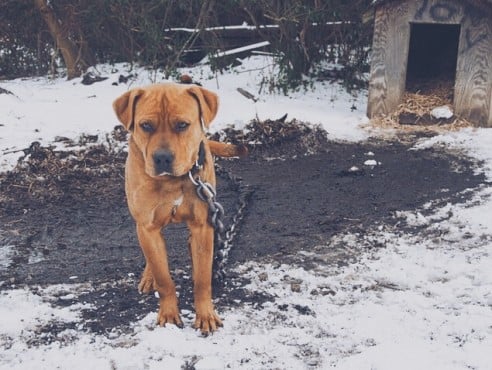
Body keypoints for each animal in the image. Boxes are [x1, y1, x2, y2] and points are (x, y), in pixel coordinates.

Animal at [113, 82, 248, 334]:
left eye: (183, 125)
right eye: (146, 126)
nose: (163, 158)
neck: (171, 181)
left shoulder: (203, 226)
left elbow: (203, 279)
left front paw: (205, 314)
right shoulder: (147, 227)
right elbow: (164, 277)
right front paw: (168, 313)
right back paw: (149, 276)